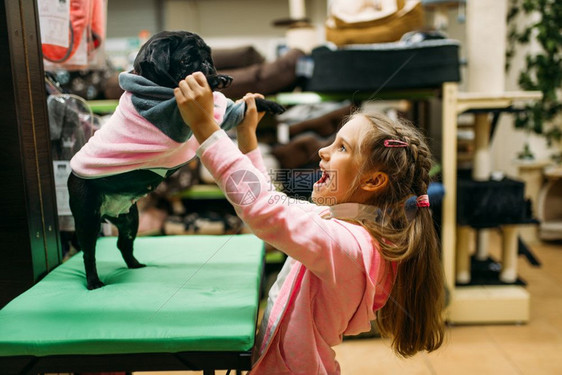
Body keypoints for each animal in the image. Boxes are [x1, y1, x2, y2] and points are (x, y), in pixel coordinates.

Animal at [67, 32, 282, 290]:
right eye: (186, 60)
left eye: (208, 56)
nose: (207, 65)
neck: (156, 86)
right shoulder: (173, 117)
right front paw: (214, 79)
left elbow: (235, 107)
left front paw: (264, 103)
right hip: (87, 219)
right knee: (88, 253)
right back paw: (94, 282)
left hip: (130, 220)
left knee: (123, 244)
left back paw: (135, 266)